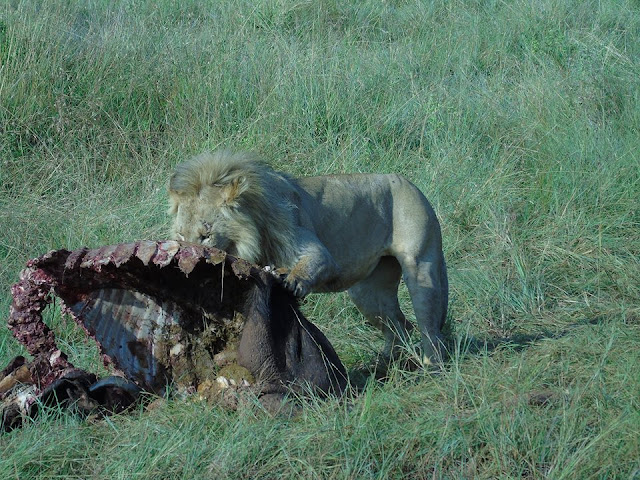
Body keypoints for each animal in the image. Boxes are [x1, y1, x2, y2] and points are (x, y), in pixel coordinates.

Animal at [170, 152, 450, 366]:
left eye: (206, 235)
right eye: (181, 234)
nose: (189, 256)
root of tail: (412, 185)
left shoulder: (309, 245)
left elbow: (312, 262)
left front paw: (292, 281)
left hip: (420, 264)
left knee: (428, 326)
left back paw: (431, 366)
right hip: (368, 294)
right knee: (399, 326)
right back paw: (384, 365)